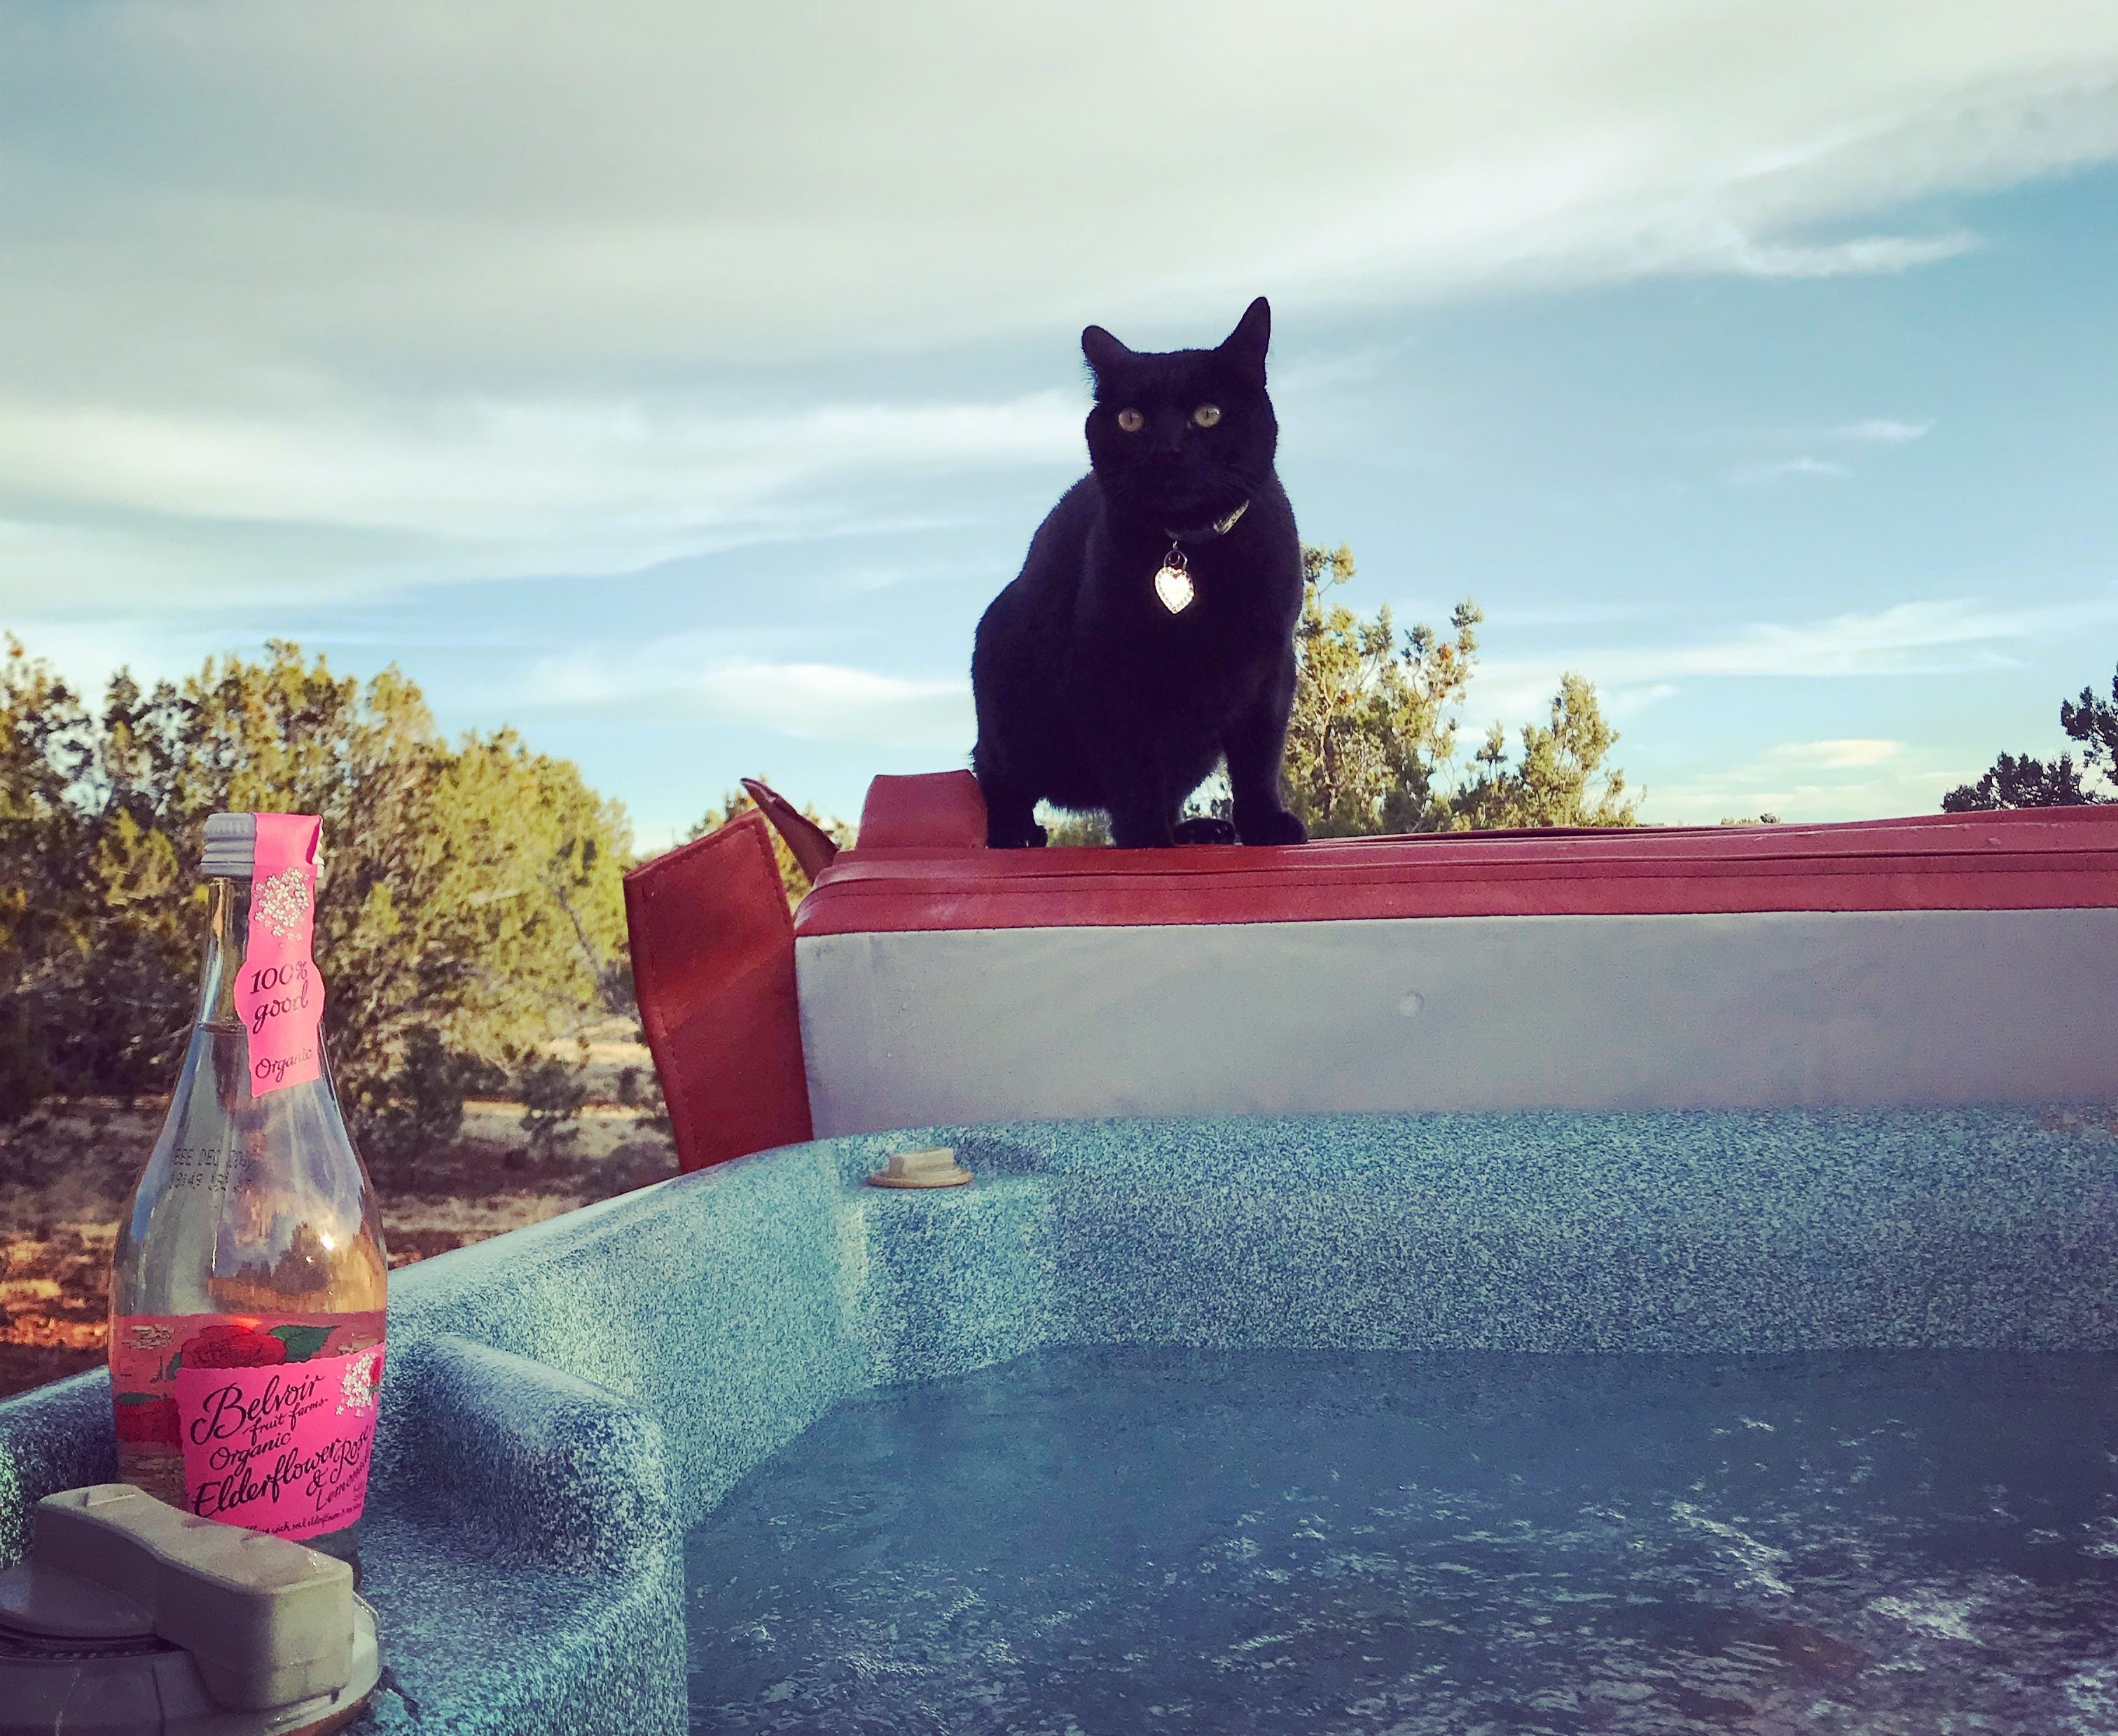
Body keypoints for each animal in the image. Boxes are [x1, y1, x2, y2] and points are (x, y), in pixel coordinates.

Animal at [969, 300, 1304, 855]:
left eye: (1208, 414)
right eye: (1132, 420)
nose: (1166, 451)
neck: (1190, 549)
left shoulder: (1270, 670)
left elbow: (1259, 760)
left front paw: (1265, 825)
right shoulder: (1111, 676)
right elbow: (1133, 772)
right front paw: (1146, 841)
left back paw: (1196, 831)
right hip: (1012, 718)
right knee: (994, 776)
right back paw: (1015, 833)